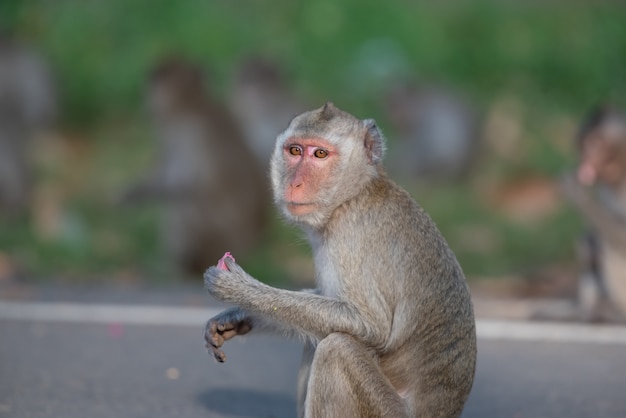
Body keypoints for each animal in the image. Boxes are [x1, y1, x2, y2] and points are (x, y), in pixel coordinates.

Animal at [123, 56, 266, 278]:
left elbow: (185, 183)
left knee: (184, 205)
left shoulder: (185, 135)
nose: (147, 100)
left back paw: (176, 268)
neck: (191, 102)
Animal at [202, 102, 476, 418]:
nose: (294, 183)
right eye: (295, 150)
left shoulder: (351, 236)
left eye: (320, 154)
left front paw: (239, 289)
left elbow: (371, 326)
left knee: (336, 347)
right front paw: (239, 316)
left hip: (385, 411)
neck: (354, 195)